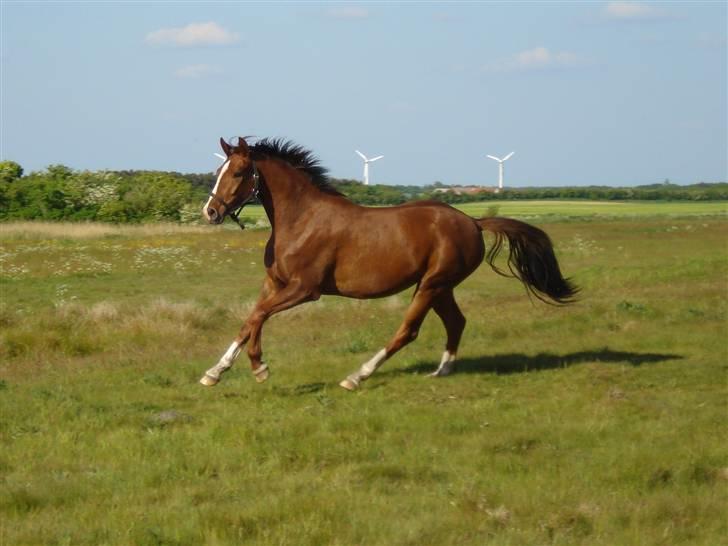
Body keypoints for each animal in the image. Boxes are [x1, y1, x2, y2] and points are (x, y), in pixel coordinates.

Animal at [199, 137, 580, 392]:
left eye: (239, 172)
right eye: (218, 170)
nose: (210, 212)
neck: (301, 220)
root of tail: (473, 222)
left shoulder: (304, 289)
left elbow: (258, 316)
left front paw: (259, 367)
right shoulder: (275, 283)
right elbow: (249, 320)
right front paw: (215, 372)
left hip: (431, 285)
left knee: (407, 332)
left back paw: (357, 376)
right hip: (439, 287)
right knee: (456, 322)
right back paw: (442, 371)